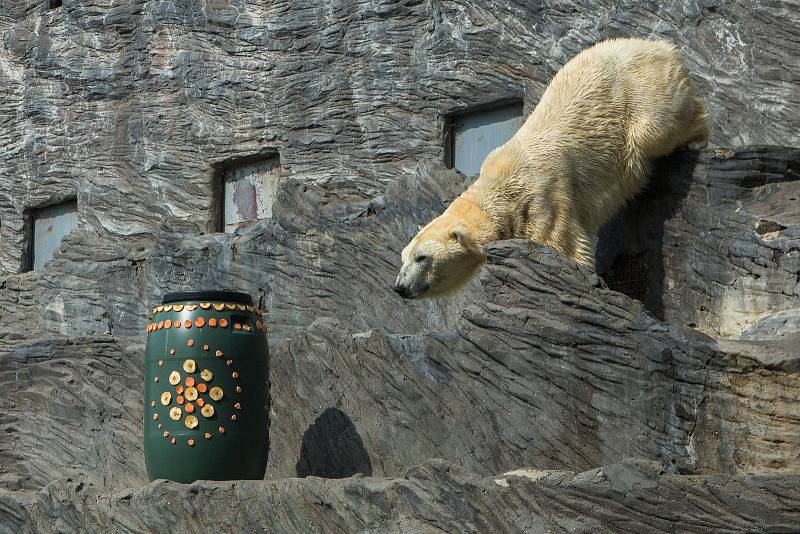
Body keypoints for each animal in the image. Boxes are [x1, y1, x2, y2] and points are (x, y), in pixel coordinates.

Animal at [392, 38, 708, 302]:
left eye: (422, 257)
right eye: (403, 256)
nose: (400, 287)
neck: (501, 184)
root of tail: (661, 46)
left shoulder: (541, 196)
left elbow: (562, 244)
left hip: (642, 91)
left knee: (657, 128)